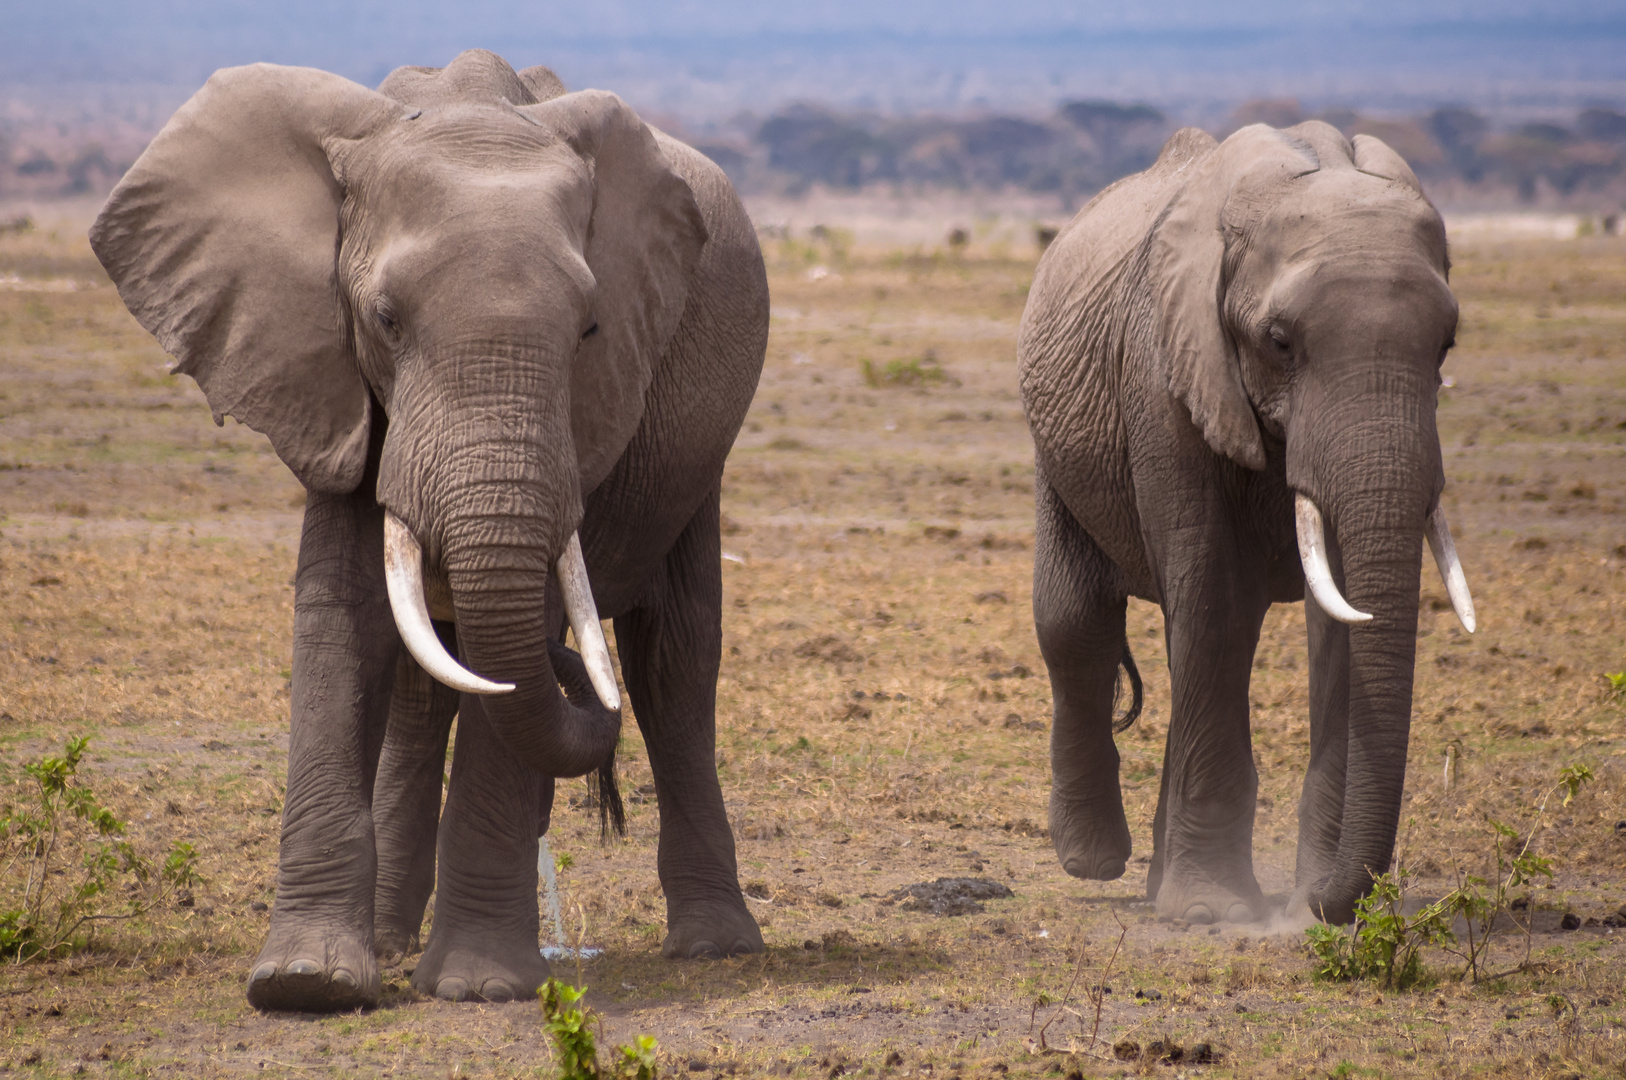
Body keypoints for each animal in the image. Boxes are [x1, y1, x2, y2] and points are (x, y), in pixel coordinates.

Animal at [92, 50, 770, 1014]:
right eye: (384, 318)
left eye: (591, 329)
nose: (573, 670)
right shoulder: (323, 376)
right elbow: (341, 622)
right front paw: (306, 983)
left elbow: (523, 652)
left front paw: (482, 986)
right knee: (425, 694)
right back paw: (387, 937)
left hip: (698, 458)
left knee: (672, 661)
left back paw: (714, 946)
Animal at [1021, 121, 1482, 923]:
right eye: (1280, 341)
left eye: (1446, 345)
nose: (1333, 905)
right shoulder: (1165, 376)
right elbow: (1211, 600)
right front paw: (1211, 912)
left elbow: (1340, 622)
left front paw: (1304, 901)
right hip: (1058, 446)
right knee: (1078, 621)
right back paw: (1097, 861)